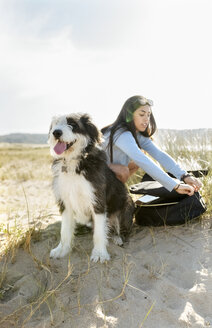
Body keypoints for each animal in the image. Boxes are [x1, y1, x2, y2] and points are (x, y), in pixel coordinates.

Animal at [48, 114, 134, 262]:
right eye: (56, 124)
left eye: (73, 124)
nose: (56, 133)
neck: (73, 163)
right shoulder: (65, 201)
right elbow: (64, 230)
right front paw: (62, 249)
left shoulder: (97, 200)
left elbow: (99, 232)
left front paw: (99, 254)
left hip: (126, 205)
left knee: (121, 230)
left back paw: (118, 238)